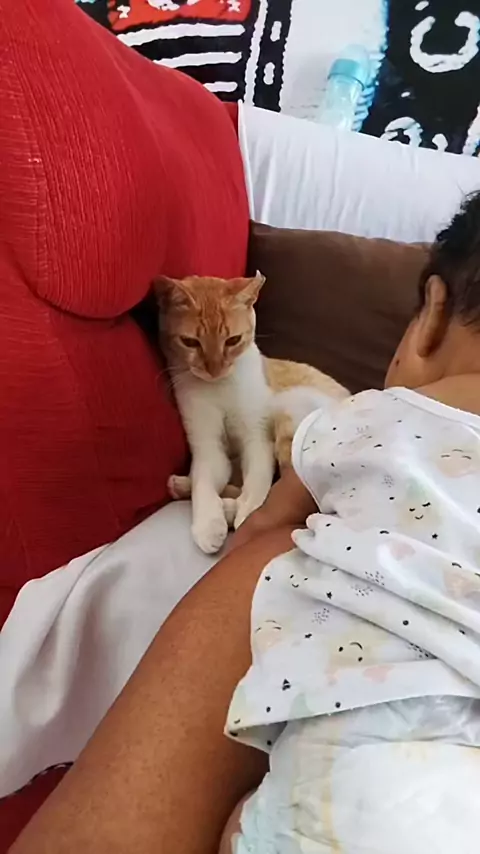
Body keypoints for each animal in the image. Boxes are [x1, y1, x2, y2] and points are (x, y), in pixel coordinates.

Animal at [154, 272, 348, 554]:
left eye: (233, 340)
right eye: (190, 342)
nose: (214, 369)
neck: (219, 386)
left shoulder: (257, 436)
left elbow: (258, 479)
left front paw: (247, 512)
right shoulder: (206, 443)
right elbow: (204, 479)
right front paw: (208, 523)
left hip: (291, 406)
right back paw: (184, 487)